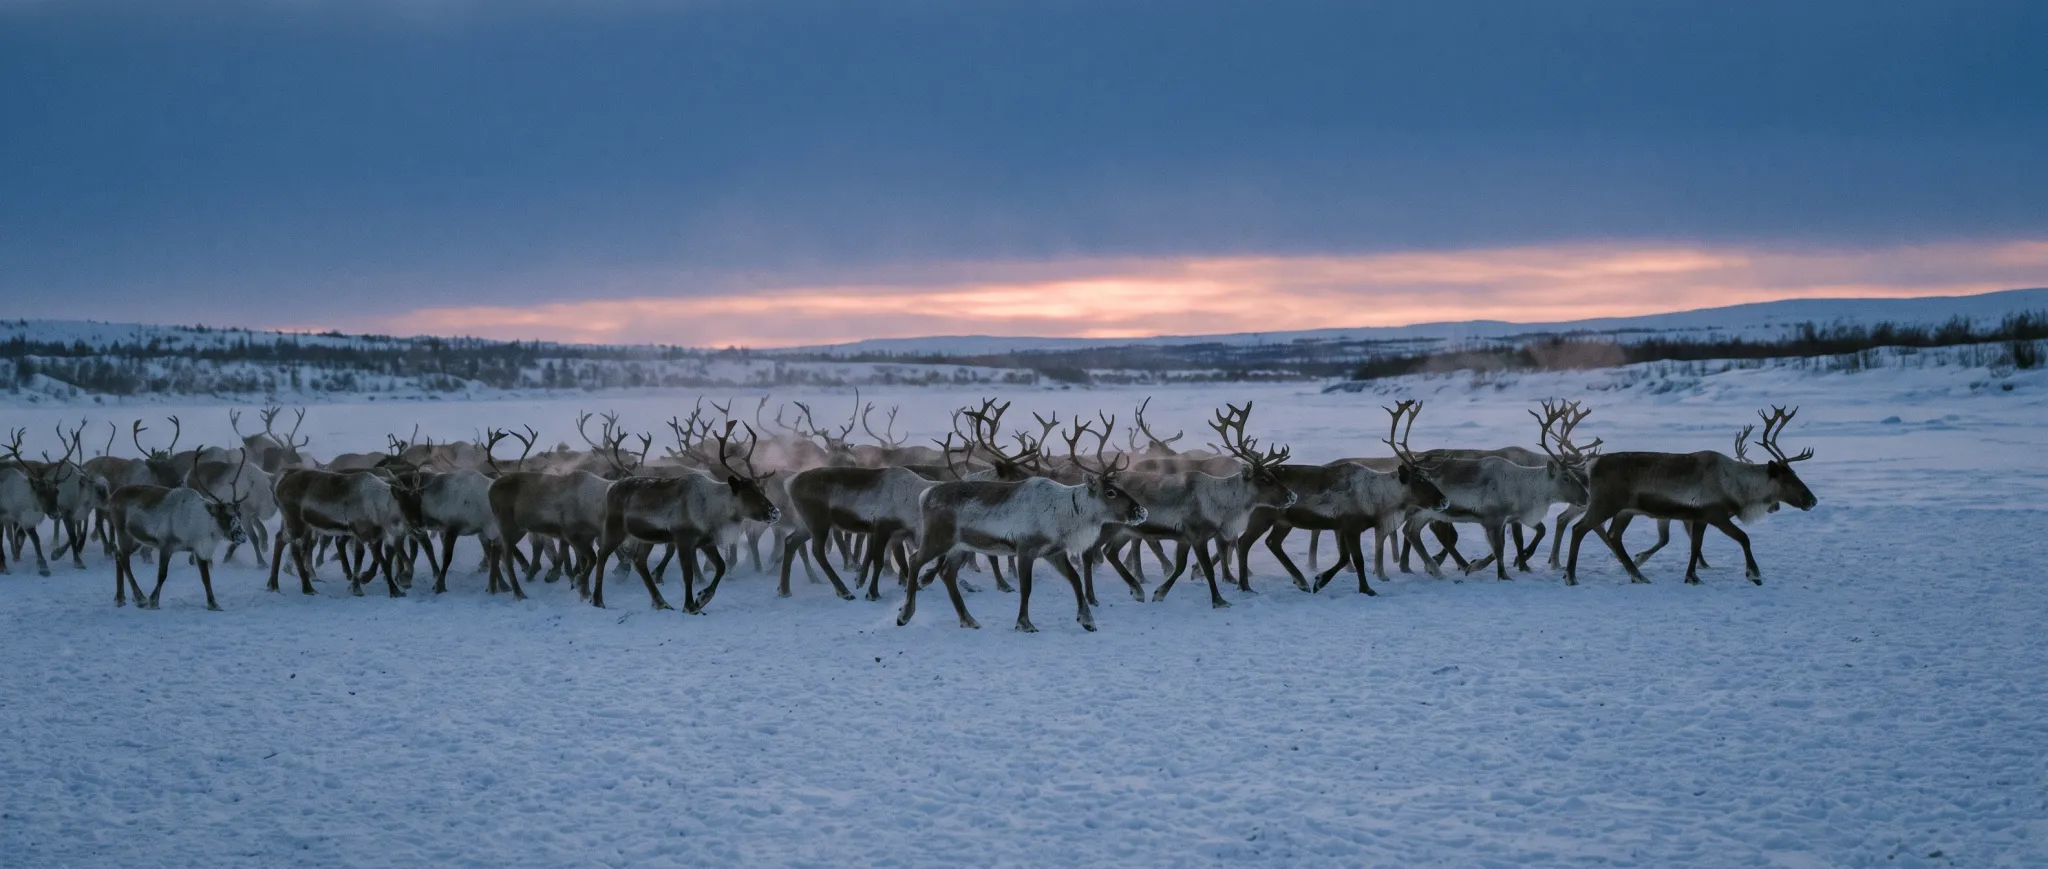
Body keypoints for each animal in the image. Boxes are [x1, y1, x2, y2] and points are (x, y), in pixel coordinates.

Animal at [107, 452, 250, 610]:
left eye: (239, 514)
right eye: (223, 515)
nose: (242, 537)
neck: (200, 524)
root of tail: (113, 496)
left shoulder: (198, 550)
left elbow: (206, 578)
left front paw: (213, 604)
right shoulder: (166, 546)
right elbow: (162, 575)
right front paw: (153, 601)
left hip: (137, 539)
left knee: (119, 555)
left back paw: (120, 598)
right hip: (123, 532)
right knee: (124, 559)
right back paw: (140, 598)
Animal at [590, 421, 782, 612]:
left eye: (761, 489)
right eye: (747, 493)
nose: (775, 512)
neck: (712, 509)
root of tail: (611, 488)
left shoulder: (706, 541)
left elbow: (721, 566)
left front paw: (703, 597)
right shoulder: (683, 539)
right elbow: (688, 574)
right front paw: (690, 605)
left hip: (646, 538)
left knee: (639, 561)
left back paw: (661, 602)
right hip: (615, 528)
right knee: (602, 555)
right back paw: (598, 600)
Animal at [1099, 402, 1297, 609]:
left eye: (1272, 474)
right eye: (1265, 479)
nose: (1291, 495)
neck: (1222, 504)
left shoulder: (1185, 539)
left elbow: (1180, 568)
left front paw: (1160, 593)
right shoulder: (1197, 536)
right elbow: (1207, 569)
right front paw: (1219, 601)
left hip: (1126, 530)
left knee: (1110, 552)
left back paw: (1137, 590)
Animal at [1565, 407, 1818, 586]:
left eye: (1795, 474)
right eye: (1788, 479)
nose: (1812, 500)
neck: (1736, 485)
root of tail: (1591, 464)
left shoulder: (1699, 517)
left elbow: (1696, 546)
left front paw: (1692, 577)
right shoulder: (1716, 515)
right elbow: (1743, 538)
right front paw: (1754, 574)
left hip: (1625, 511)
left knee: (1613, 536)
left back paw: (1638, 575)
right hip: (1605, 504)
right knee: (1579, 529)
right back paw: (1571, 576)